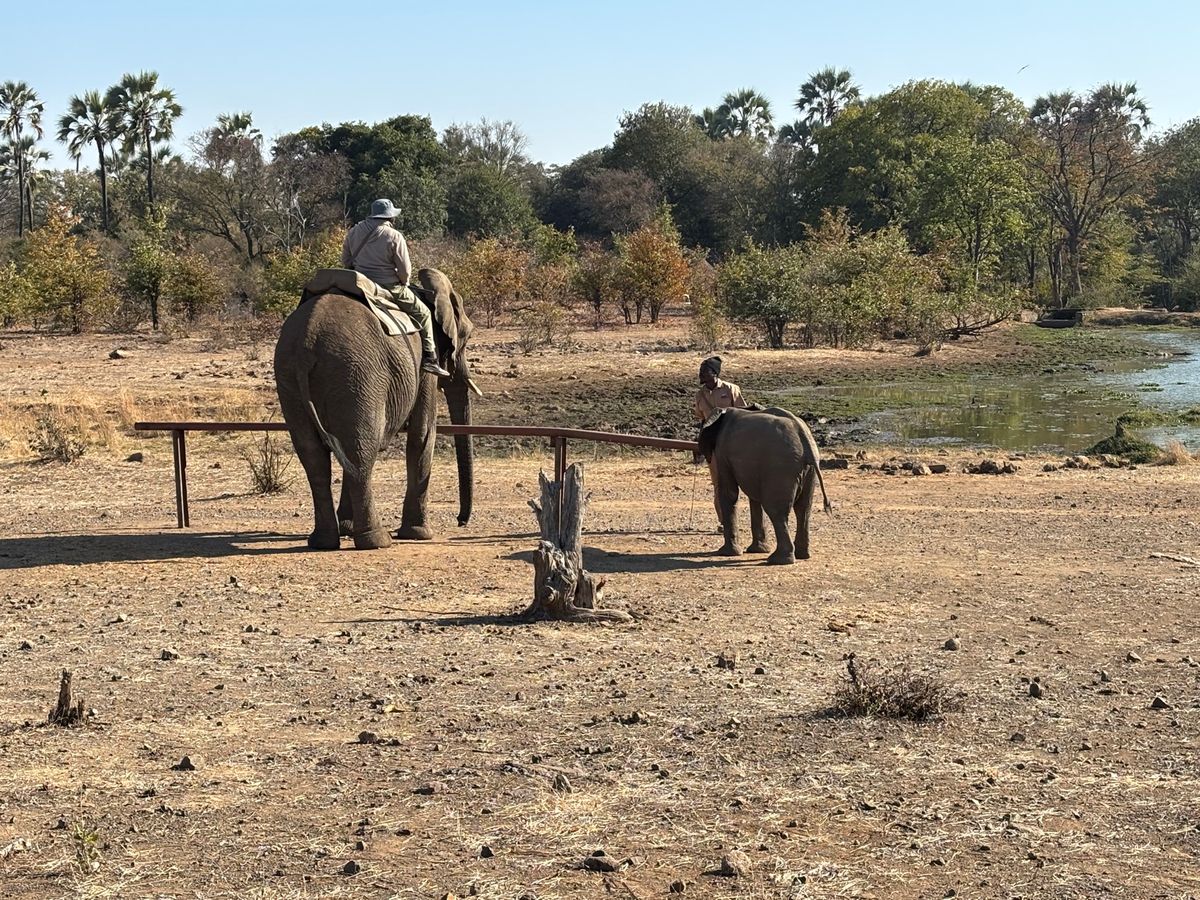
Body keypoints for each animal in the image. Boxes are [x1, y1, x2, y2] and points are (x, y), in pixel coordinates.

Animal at [273, 268, 479, 550]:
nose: (461, 521)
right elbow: (423, 434)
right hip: (357, 374)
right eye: (466, 336)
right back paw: (377, 540)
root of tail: (306, 343)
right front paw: (419, 535)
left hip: (291, 376)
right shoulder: (426, 364)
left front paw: (347, 527)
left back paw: (324, 541)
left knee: (317, 456)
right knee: (360, 452)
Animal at [696, 406, 832, 565]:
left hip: (780, 467)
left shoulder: (723, 451)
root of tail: (805, 439)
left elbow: (729, 493)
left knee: (776, 510)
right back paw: (802, 555)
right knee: (803, 509)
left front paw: (725, 553)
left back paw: (778, 560)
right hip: (808, 470)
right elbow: (754, 498)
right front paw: (757, 550)